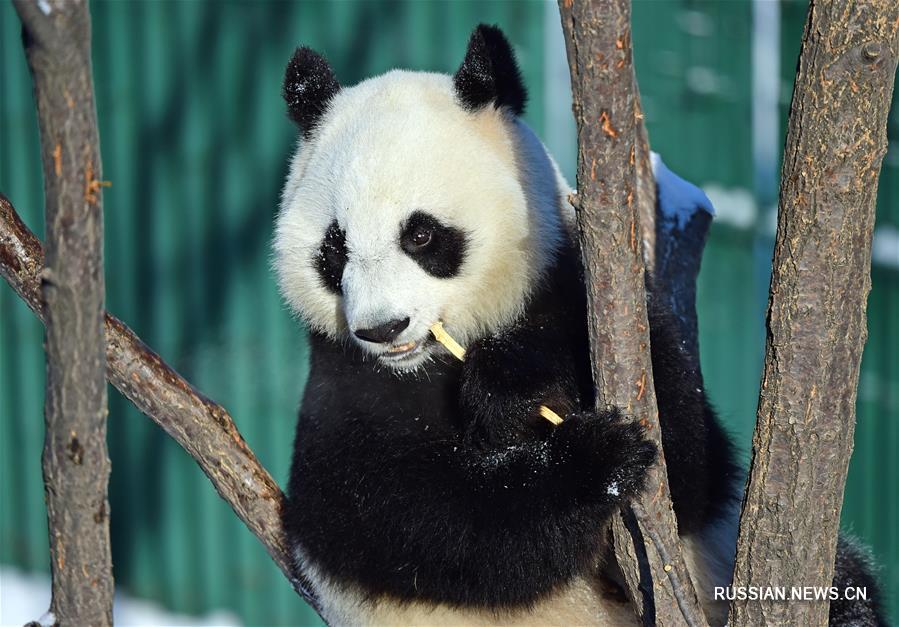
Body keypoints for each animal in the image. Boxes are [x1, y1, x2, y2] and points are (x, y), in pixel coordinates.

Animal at [272, 23, 884, 627]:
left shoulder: (579, 287)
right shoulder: (344, 385)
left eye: (420, 235)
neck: (436, 360)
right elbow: (399, 517)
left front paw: (512, 386)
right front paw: (592, 458)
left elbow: (687, 456)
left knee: (848, 584)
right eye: (334, 248)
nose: (382, 328)